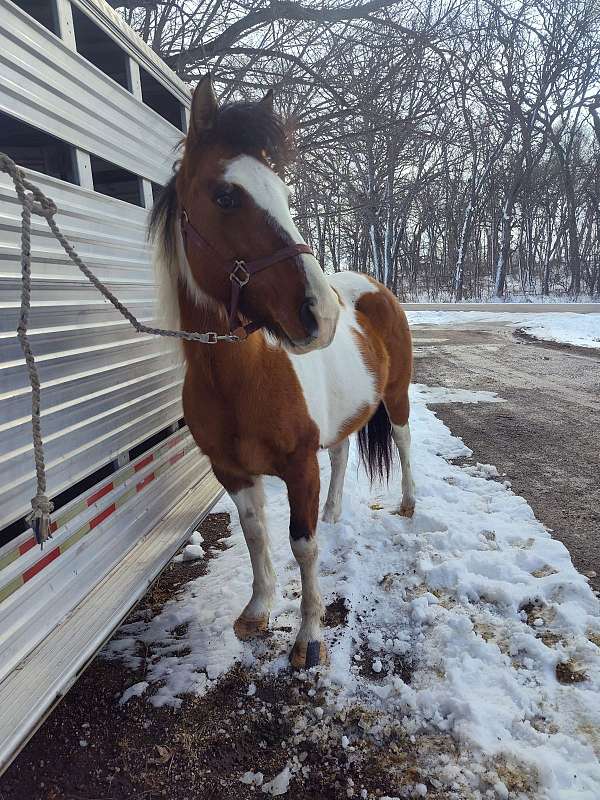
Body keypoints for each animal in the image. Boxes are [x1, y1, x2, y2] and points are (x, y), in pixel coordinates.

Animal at [150, 78, 414, 672]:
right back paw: (337, 510)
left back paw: (410, 504)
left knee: (405, 441)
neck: (239, 381)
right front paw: (258, 610)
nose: (323, 313)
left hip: (398, 395)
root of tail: (373, 285)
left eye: (284, 195)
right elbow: (256, 535)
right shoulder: (231, 471)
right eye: (226, 196)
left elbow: (303, 544)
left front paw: (309, 636)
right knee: (341, 454)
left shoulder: (298, 467)